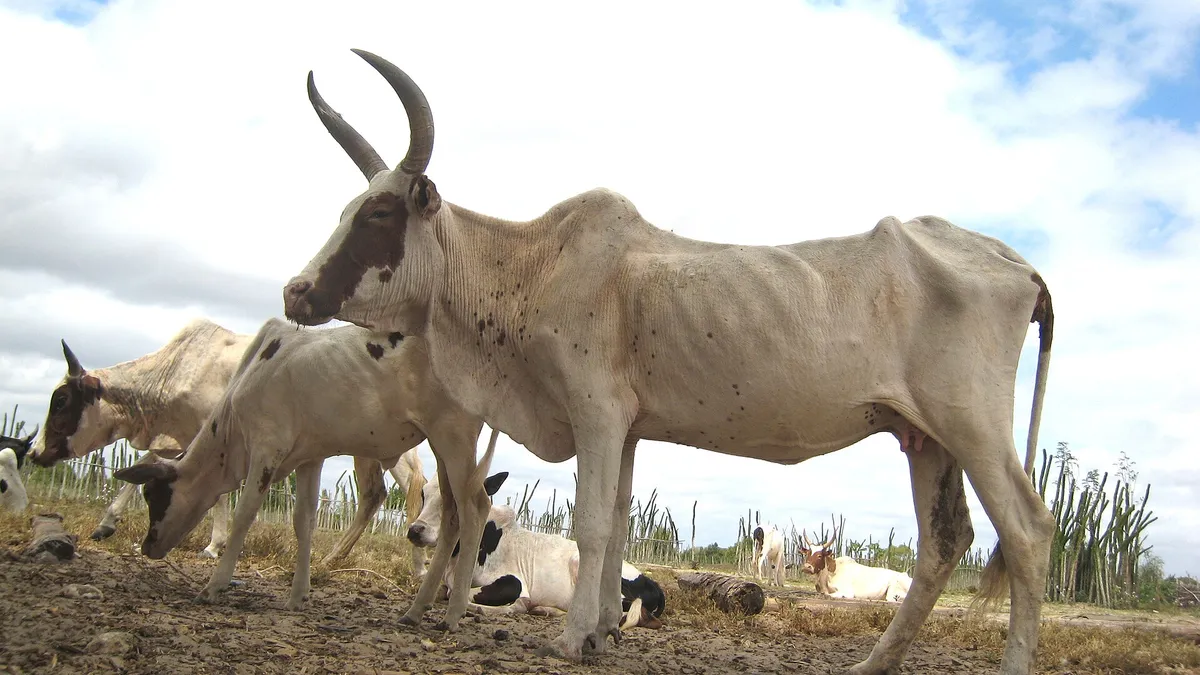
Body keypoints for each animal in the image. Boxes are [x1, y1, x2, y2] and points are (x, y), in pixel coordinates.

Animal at [28, 319, 424, 570]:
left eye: (61, 400)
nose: (34, 452)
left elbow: (216, 493)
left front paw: (213, 545)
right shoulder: (182, 438)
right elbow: (145, 467)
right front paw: (106, 524)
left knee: (412, 488)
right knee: (380, 493)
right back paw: (334, 559)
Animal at [114, 317, 498, 624]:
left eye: (153, 494)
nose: (147, 546)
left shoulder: (267, 448)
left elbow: (244, 514)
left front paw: (214, 585)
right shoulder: (309, 459)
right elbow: (304, 521)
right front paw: (298, 595)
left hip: (453, 436)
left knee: (475, 507)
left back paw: (451, 614)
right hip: (441, 446)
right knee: (451, 515)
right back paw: (415, 611)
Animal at [414, 469, 665, 629]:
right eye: (423, 493)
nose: (416, 530)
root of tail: (652, 582)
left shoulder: (514, 582)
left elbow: (460, 594)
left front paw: (508, 606)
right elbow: (445, 591)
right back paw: (545, 610)